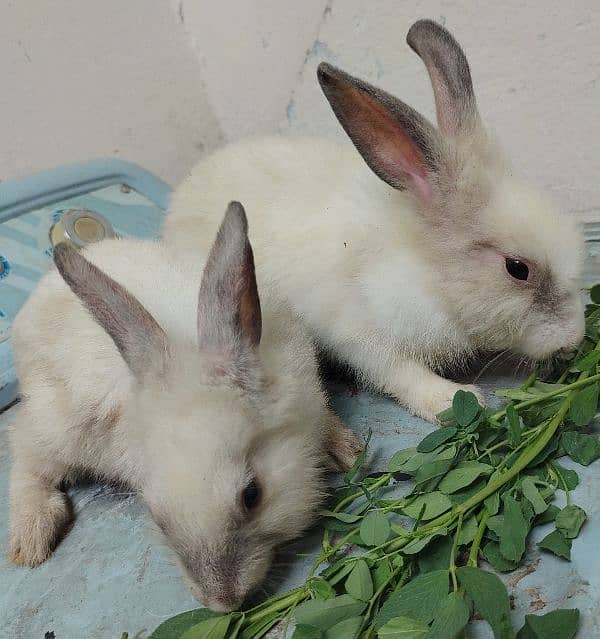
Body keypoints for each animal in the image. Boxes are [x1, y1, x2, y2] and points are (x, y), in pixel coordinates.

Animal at [7, 202, 360, 612]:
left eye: (251, 495)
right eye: (158, 519)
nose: (222, 602)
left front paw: (347, 451)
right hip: (57, 428)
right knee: (24, 452)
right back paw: (31, 540)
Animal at [164, 17, 584, 422]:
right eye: (517, 269)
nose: (576, 337)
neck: (425, 269)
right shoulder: (361, 333)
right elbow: (397, 371)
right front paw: (451, 400)